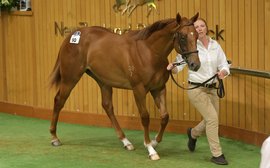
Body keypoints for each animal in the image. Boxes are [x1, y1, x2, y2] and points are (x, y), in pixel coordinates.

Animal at [49, 12, 199, 159]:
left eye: (197, 35)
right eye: (183, 37)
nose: (195, 64)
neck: (149, 52)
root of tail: (71, 37)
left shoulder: (159, 88)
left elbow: (165, 117)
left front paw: (154, 142)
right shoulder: (138, 89)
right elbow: (145, 117)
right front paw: (150, 149)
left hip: (103, 81)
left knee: (107, 106)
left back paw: (126, 142)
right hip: (70, 78)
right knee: (59, 101)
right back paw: (54, 138)